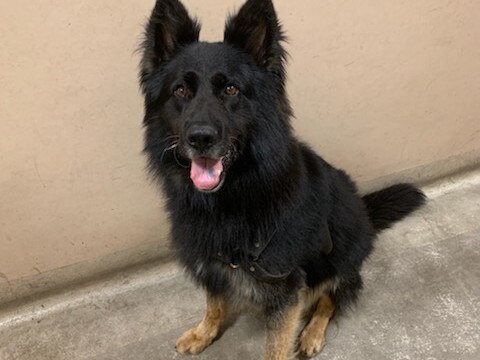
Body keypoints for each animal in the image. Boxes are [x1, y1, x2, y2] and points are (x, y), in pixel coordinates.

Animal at [137, 0, 426, 358]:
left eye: (231, 89)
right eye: (180, 90)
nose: (200, 138)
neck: (235, 196)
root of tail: (364, 211)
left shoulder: (285, 286)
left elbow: (276, 344)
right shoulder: (212, 262)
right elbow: (214, 303)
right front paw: (204, 332)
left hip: (341, 259)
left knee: (331, 297)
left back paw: (312, 333)